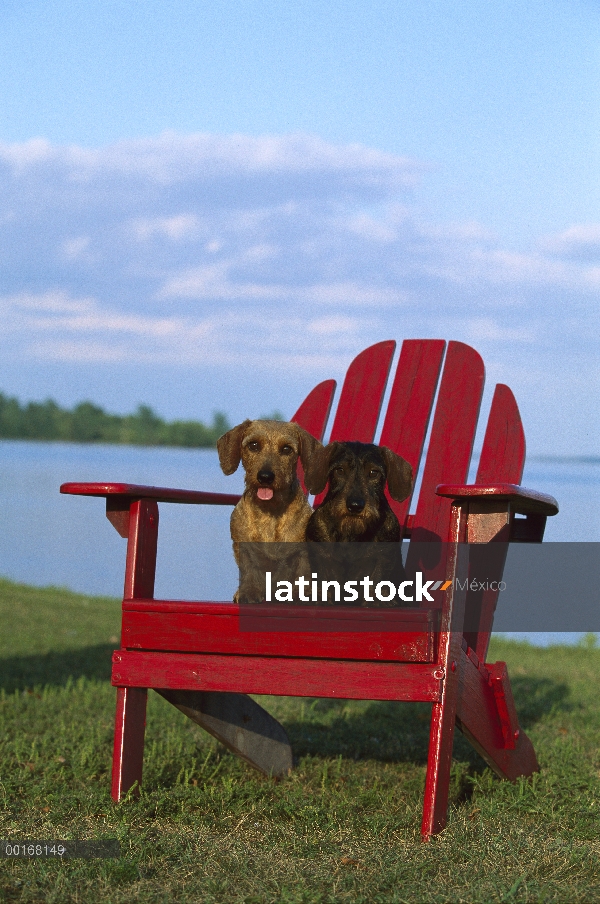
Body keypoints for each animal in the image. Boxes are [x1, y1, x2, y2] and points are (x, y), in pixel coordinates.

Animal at [218, 420, 322, 604]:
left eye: (287, 449)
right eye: (253, 445)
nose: (265, 477)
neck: (270, 511)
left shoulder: (302, 551)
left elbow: (303, 572)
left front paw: (303, 593)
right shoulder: (243, 548)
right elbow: (249, 570)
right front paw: (249, 592)